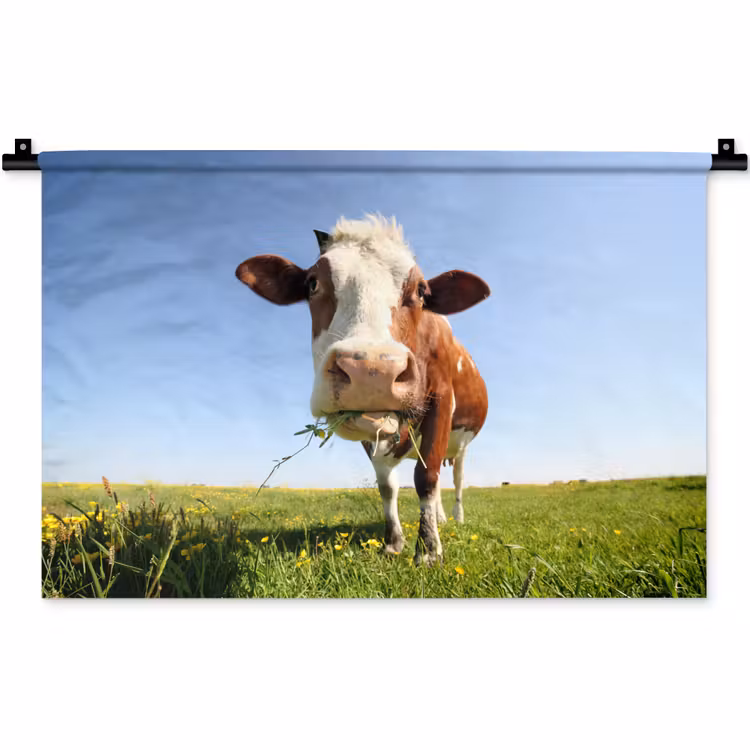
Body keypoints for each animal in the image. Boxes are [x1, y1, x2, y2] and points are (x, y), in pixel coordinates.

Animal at [235, 215, 490, 565]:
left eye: (421, 291)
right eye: (312, 284)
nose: (373, 371)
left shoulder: (441, 400)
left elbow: (426, 478)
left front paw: (428, 551)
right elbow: (387, 486)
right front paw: (394, 542)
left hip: (462, 443)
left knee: (455, 479)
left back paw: (455, 518)